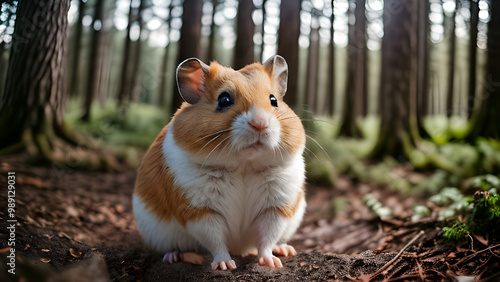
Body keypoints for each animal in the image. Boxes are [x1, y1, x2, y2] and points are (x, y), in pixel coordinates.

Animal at [132, 55, 304, 270]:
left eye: (273, 100)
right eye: (224, 100)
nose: (260, 124)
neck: (244, 165)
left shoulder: (276, 208)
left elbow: (267, 237)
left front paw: (271, 263)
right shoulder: (200, 211)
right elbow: (215, 240)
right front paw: (225, 265)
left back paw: (285, 249)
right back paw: (175, 256)